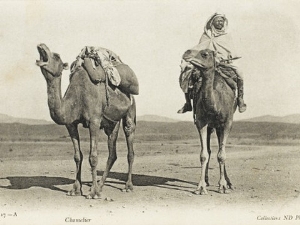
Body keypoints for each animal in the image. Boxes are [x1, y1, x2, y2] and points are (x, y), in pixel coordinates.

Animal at [35, 44, 137, 199]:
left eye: (56, 56)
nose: (41, 46)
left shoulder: (94, 121)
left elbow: (93, 157)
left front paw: (93, 193)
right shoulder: (71, 124)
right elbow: (78, 156)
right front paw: (75, 190)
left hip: (130, 109)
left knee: (129, 144)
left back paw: (127, 186)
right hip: (112, 122)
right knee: (112, 153)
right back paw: (101, 185)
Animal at [190, 49, 237, 195]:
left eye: (204, 54)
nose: (188, 56)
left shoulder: (227, 123)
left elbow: (222, 155)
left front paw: (223, 186)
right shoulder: (201, 122)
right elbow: (204, 154)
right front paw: (201, 187)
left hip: (219, 126)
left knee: (221, 150)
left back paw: (229, 183)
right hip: (212, 126)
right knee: (210, 150)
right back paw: (207, 180)